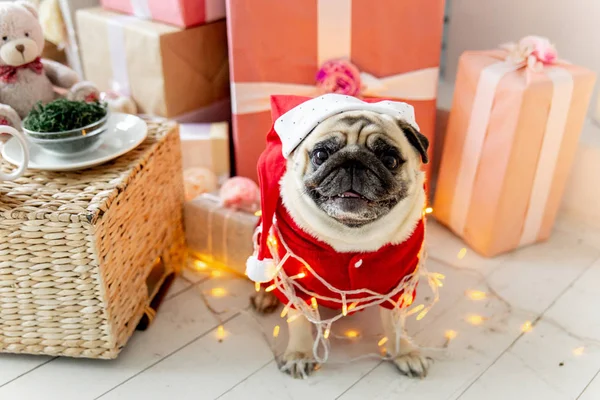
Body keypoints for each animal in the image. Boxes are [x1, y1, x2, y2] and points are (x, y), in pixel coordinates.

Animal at [248, 94, 432, 378]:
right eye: (321, 154)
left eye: (390, 160)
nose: (354, 161)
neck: (351, 236)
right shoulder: (296, 286)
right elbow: (299, 321)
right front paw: (300, 353)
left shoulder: (400, 286)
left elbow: (396, 324)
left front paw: (404, 352)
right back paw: (264, 295)